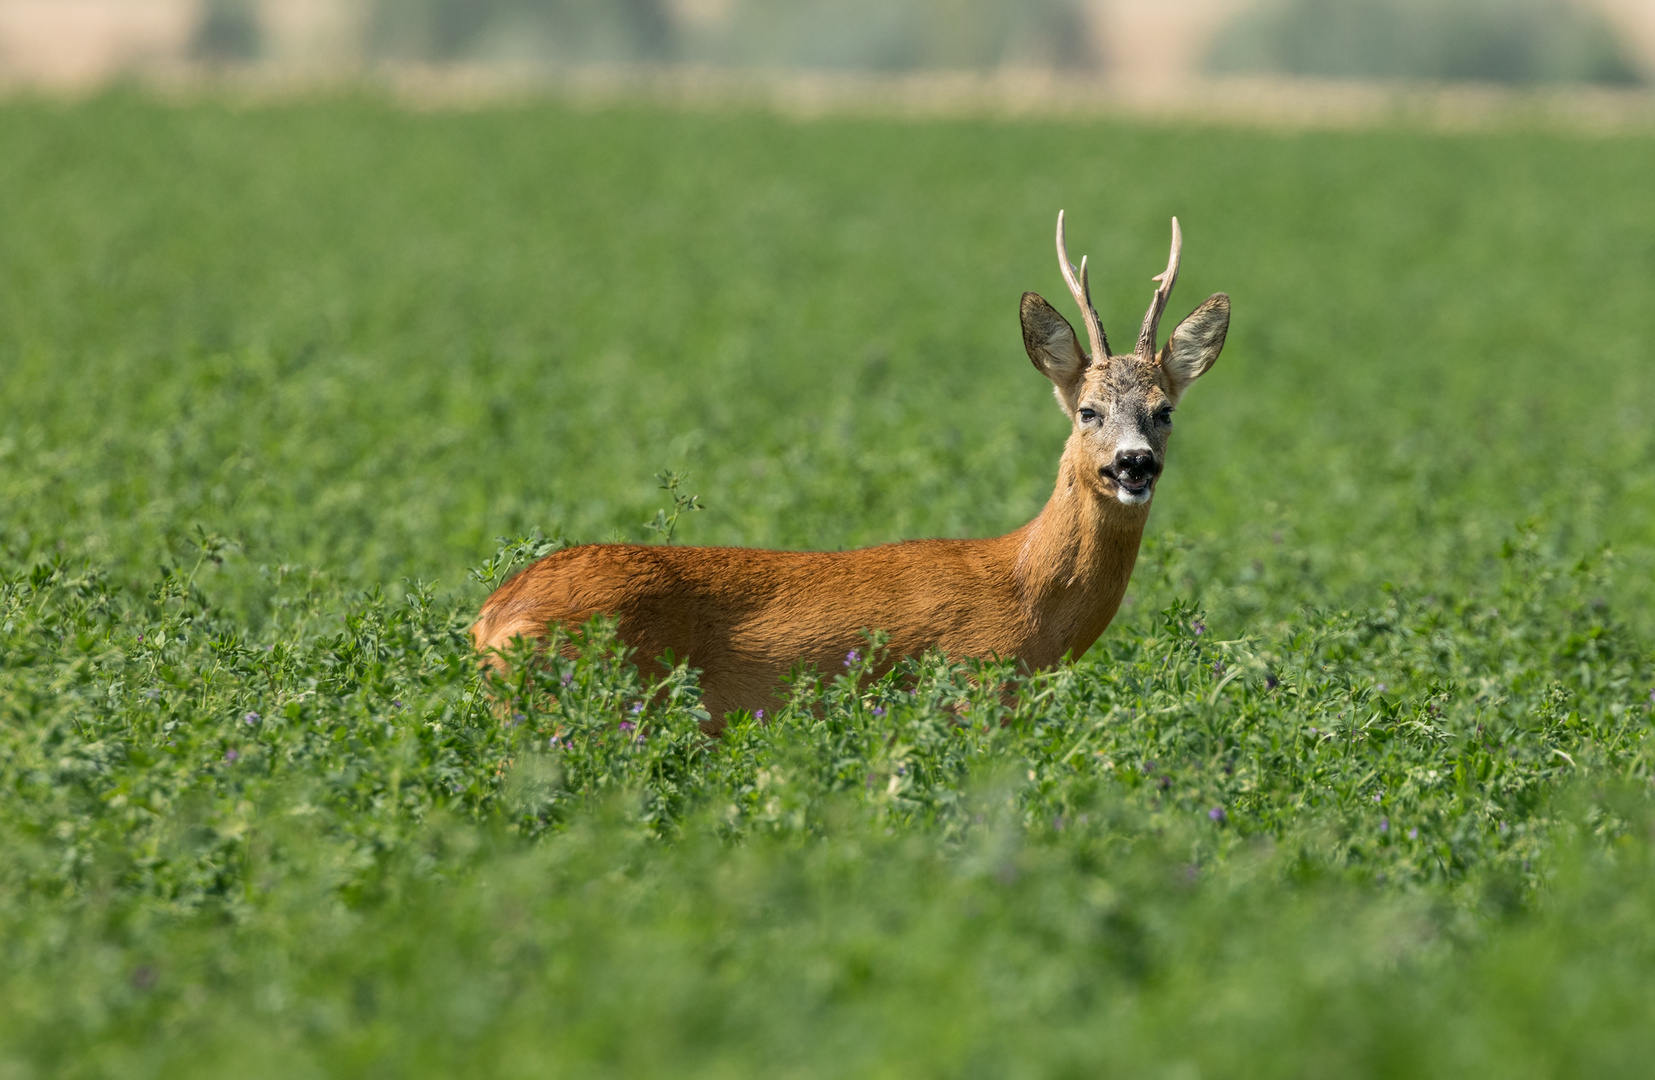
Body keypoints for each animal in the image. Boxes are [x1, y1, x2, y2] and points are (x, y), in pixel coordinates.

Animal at [476, 213, 1231, 734]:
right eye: (1087, 410)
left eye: (1164, 410)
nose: (1133, 463)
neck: (1025, 594)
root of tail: (489, 619)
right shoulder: (971, 692)